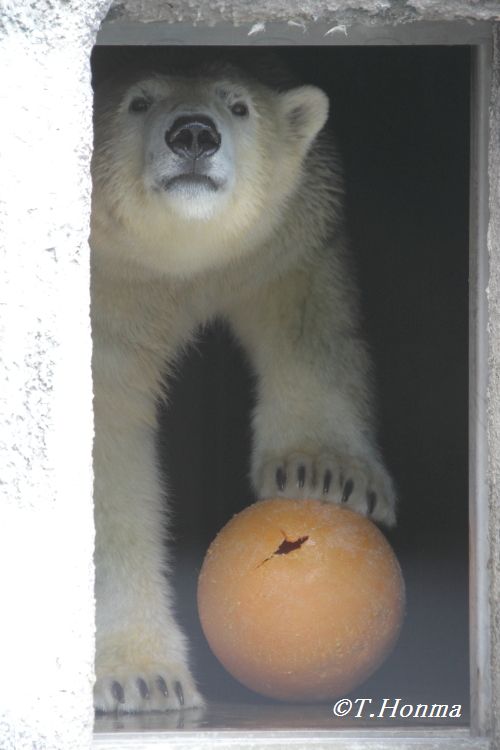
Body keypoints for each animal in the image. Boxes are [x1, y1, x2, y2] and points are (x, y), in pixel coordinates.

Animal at [89, 50, 394, 712]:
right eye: (138, 101)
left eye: (238, 105)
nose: (193, 134)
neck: (181, 260)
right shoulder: (107, 298)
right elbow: (107, 463)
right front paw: (142, 678)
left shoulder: (285, 237)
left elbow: (308, 327)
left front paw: (324, 473)